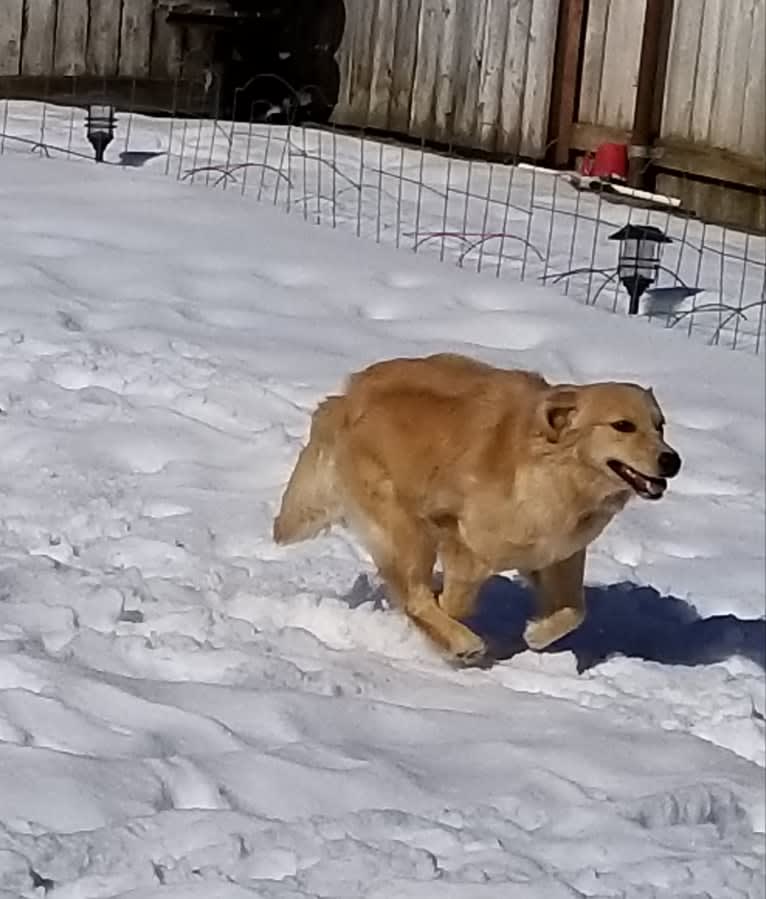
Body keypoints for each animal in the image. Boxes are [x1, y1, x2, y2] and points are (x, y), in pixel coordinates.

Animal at [272, 356, 680, 664]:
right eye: (623, 426)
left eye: (660, 426)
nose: (672, 461)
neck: (556, 472)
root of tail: (344, 398)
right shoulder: (461, 541)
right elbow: (454, 602)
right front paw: (443, 635)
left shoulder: (558, 553)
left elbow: (575, 611)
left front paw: (536, 633)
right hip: (408, 526)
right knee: (416, 596)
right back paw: (460, 643)